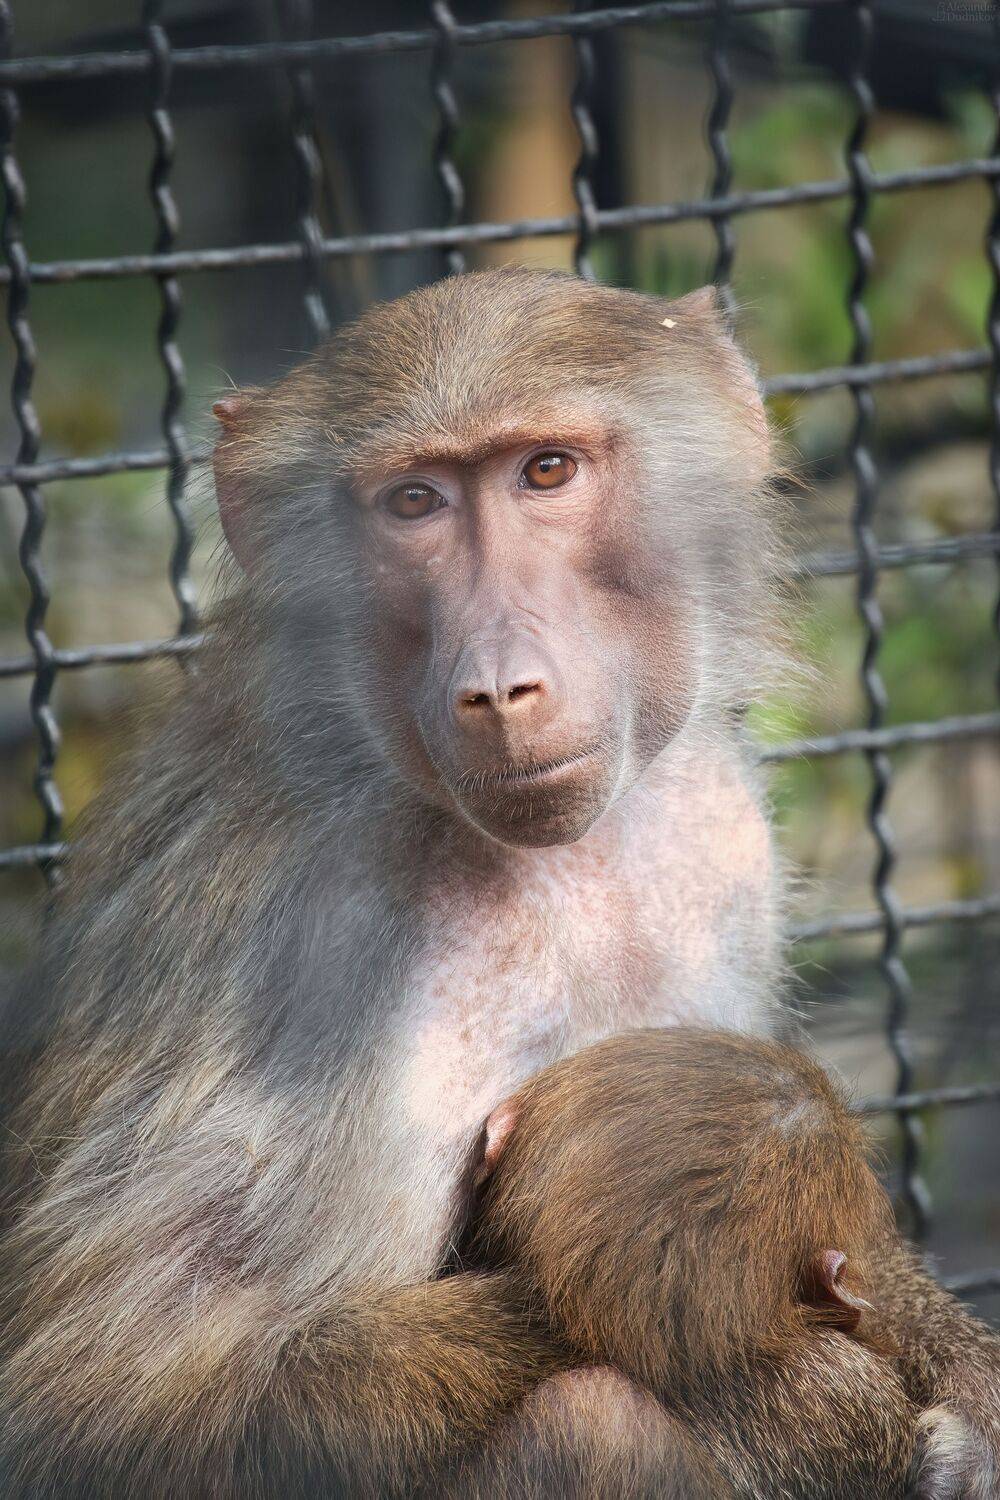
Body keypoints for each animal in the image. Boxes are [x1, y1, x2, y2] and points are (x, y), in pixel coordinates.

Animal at [0, 268, 997, 1497]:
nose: (499, 687)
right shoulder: (302, 938)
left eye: (546, 471)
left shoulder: (718, 826)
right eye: (414, 503)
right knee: (590, 1420)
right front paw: (818, 1402)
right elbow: (92, 1410)